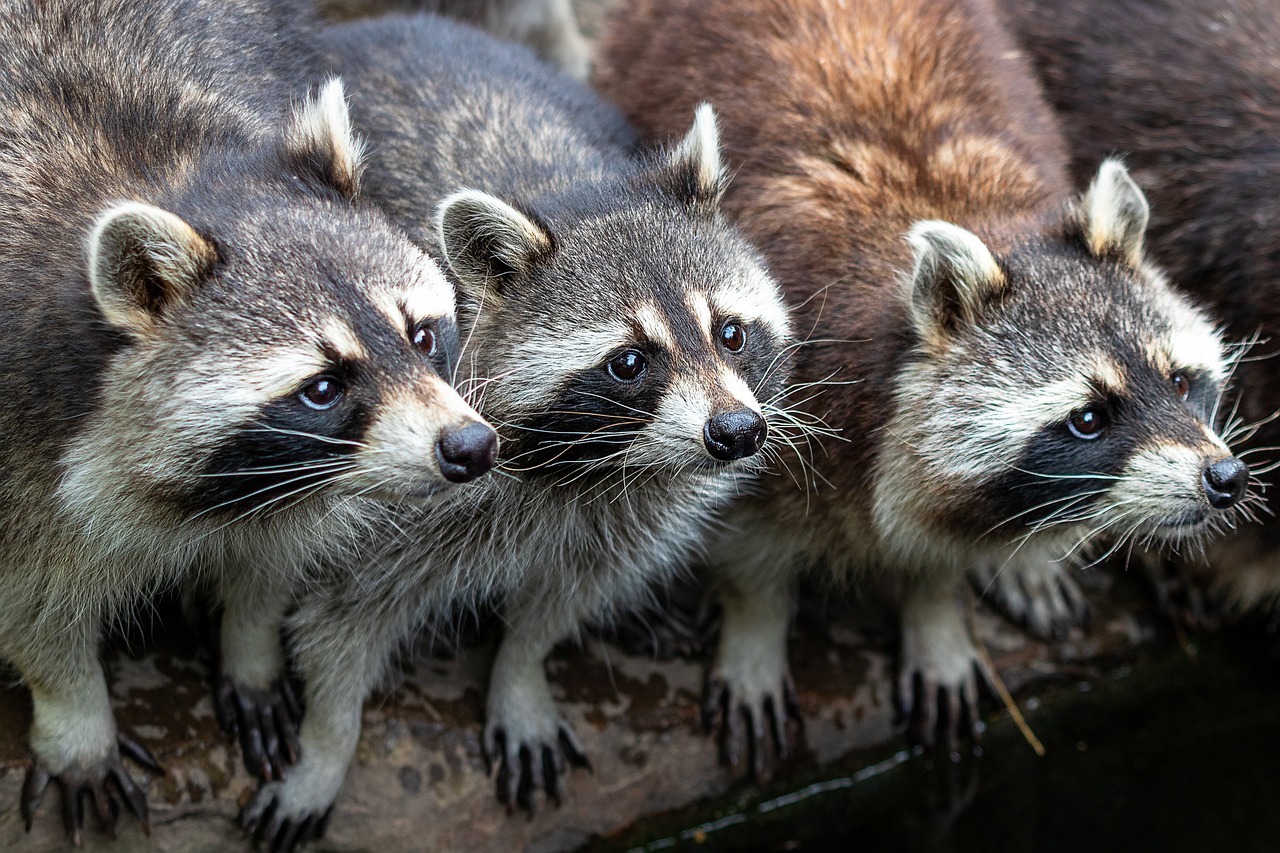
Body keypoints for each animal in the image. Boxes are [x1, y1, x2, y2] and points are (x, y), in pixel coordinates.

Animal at [0, 0, 494, 835]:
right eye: (322, 386)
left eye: (422, 335)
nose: (469, 446)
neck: (165, 172)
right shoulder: (17, 426)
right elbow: (29, 597)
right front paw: (74, 712)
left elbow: (274, 549)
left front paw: (251, 639)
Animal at [229, 14, 788, 845]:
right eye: (629, 361)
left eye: (730, 333)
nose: (737, 431)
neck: (588, 467)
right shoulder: (381, 496)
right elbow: (337, 623)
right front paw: (327, 744)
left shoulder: (623, 510)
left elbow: (562, 599)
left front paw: (520, 671)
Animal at [596, 0, 1249, 768]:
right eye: (1088, 418)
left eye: (1179, 382)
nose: (1224, 477)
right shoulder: (759, 401)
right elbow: (746, 538)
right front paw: (752, 627)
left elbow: (940, 544)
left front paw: (938, 609)